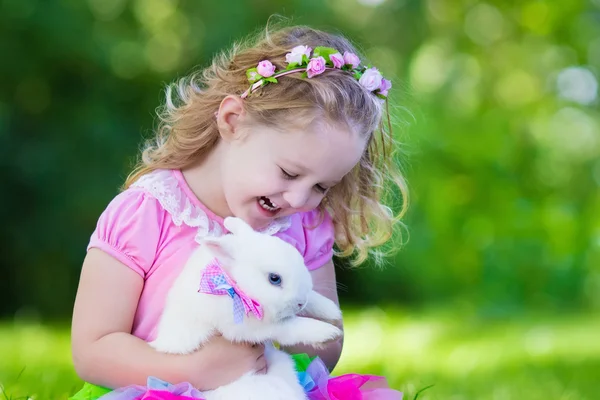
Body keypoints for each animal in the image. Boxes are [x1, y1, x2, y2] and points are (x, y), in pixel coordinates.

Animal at [149, 217, 342, 398]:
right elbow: (290, 326)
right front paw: (328, 333)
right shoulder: (251, 327)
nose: (301, 302)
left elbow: (314, 301)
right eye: (274, 278)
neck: (234, 284)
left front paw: (333, 312)